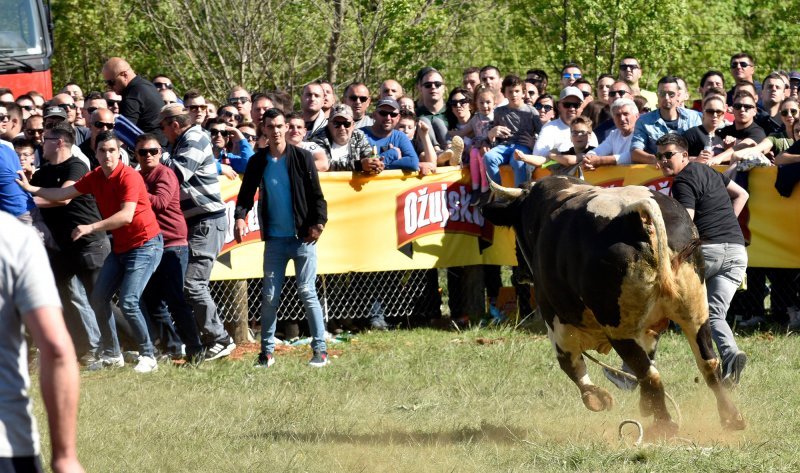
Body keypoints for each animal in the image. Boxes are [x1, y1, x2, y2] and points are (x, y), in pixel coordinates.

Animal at [478, 175, 748, 434]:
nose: (519, 274)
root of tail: (638, 215)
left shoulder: (556, 320)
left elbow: (570, 364)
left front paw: (596, 397)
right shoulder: (650, 329)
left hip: (619, 328)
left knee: (649, 373)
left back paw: (664, 424)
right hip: (695, 312)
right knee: (706, 363)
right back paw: (730, 416)